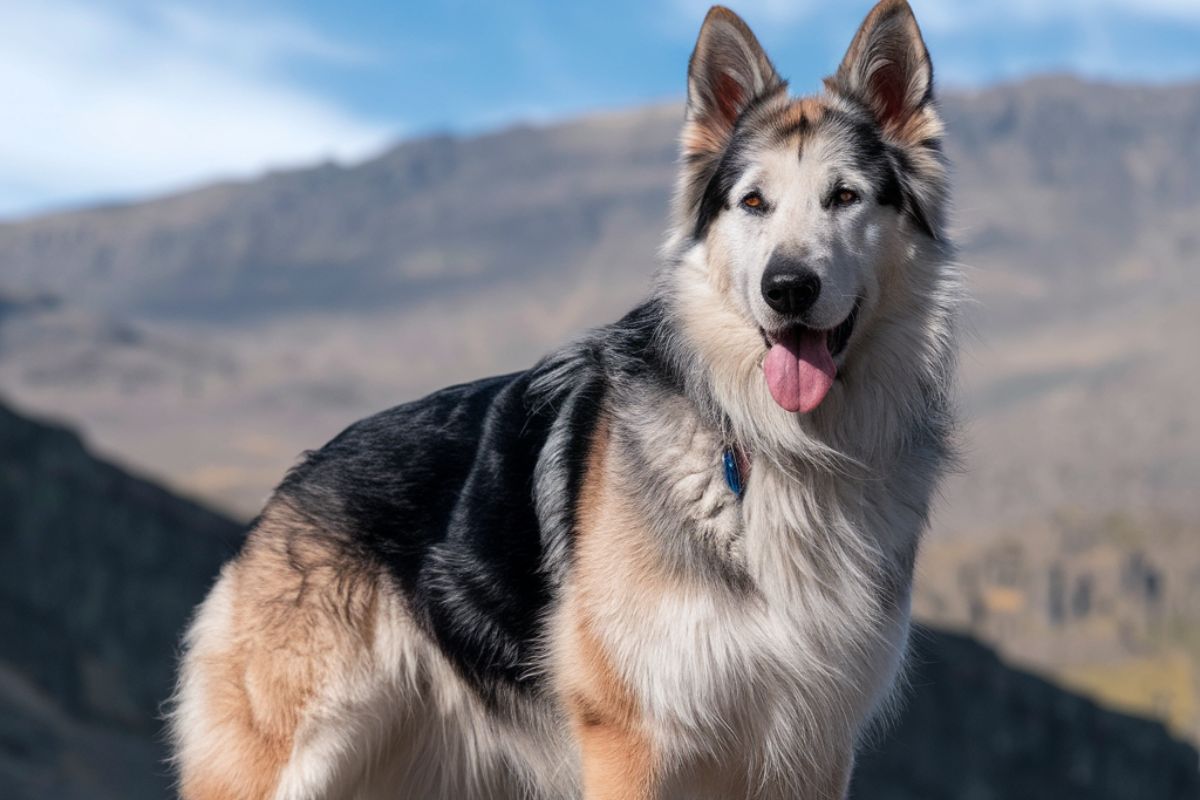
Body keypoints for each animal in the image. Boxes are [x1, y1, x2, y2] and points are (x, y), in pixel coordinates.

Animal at [171, 3, 955, 796]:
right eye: (753, 203)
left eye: (845, 196)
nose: (787, 288)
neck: (777, 449)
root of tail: (294, 481)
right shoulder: (632, 739)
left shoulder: (810, 751)